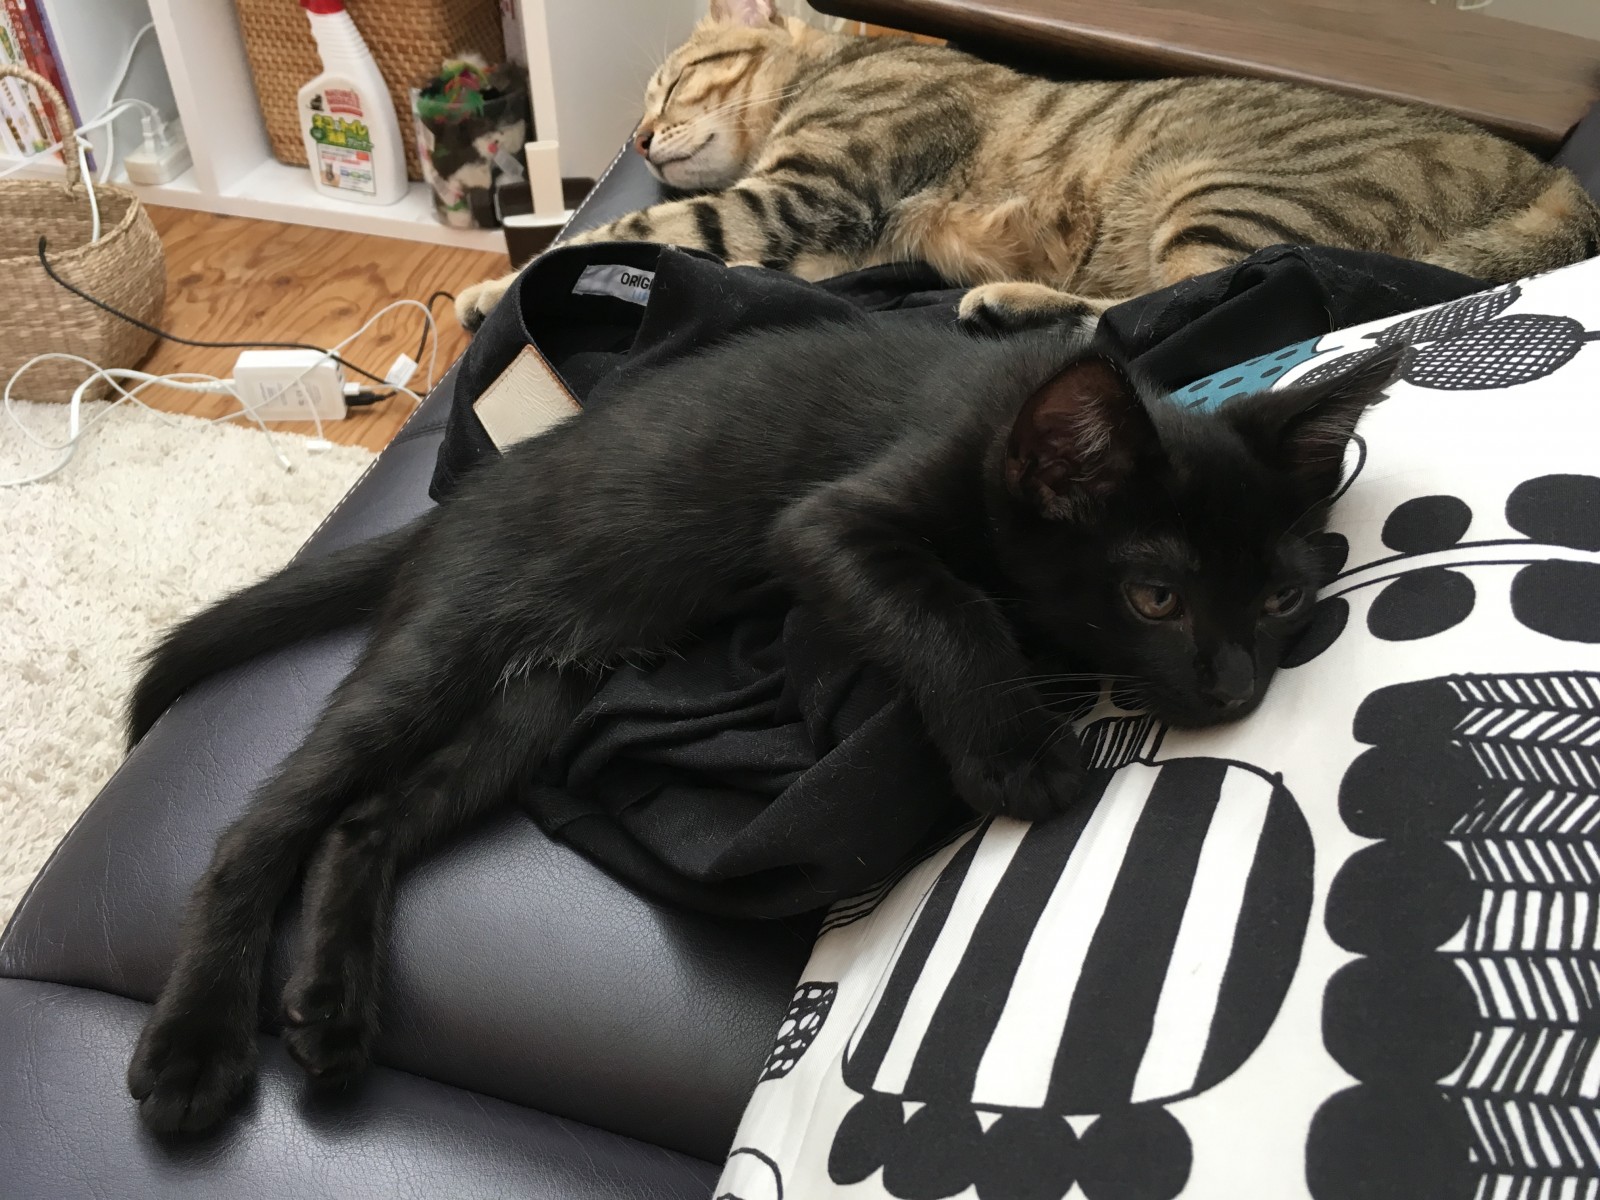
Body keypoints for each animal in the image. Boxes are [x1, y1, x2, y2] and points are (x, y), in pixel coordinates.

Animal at [124, 318, 1400, 1135]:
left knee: (368, 821)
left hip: (533, 702)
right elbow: (949, 603)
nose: (1234, 688)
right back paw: (195, 1047)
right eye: (1155, 598)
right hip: (442, 652)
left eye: (1282, 598)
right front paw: (1015, 753)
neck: (1004, 431)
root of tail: (457, 501)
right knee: (263, 825)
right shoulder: (827, 527)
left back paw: (334, 1013)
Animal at [455, 0, 1600, 332]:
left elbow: (630, 233)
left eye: (672, 83)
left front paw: (493, 290)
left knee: (1185, 303)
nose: (641, 142)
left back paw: (1011, 301)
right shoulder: (806, 232)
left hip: (1223, 197)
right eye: (641, 108)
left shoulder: (804, 189)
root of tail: (1560, 186)